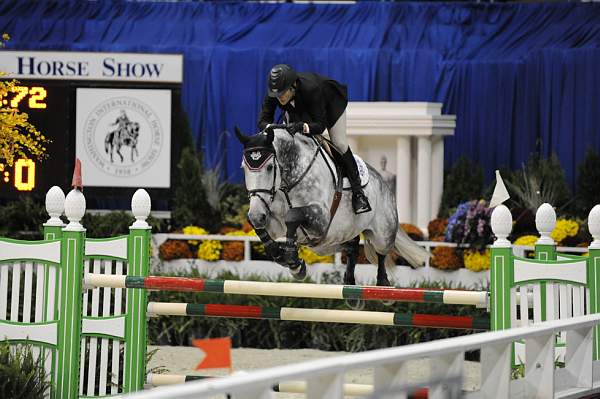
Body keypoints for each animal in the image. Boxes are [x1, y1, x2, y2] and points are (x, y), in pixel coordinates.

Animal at [237, 126, 428, 286]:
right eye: (243, 168)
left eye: (269, 167)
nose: (256, 214)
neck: (288, 182)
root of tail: (383, 183)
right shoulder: (275, 223)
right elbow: (262, 229)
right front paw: (282, 256)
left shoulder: (320, 218)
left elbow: (293, 215)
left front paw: (293, 261)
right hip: (328, 243)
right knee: (352, 246)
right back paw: (349, 285)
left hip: (381, 232)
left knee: (381, 252)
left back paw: (383, 284)